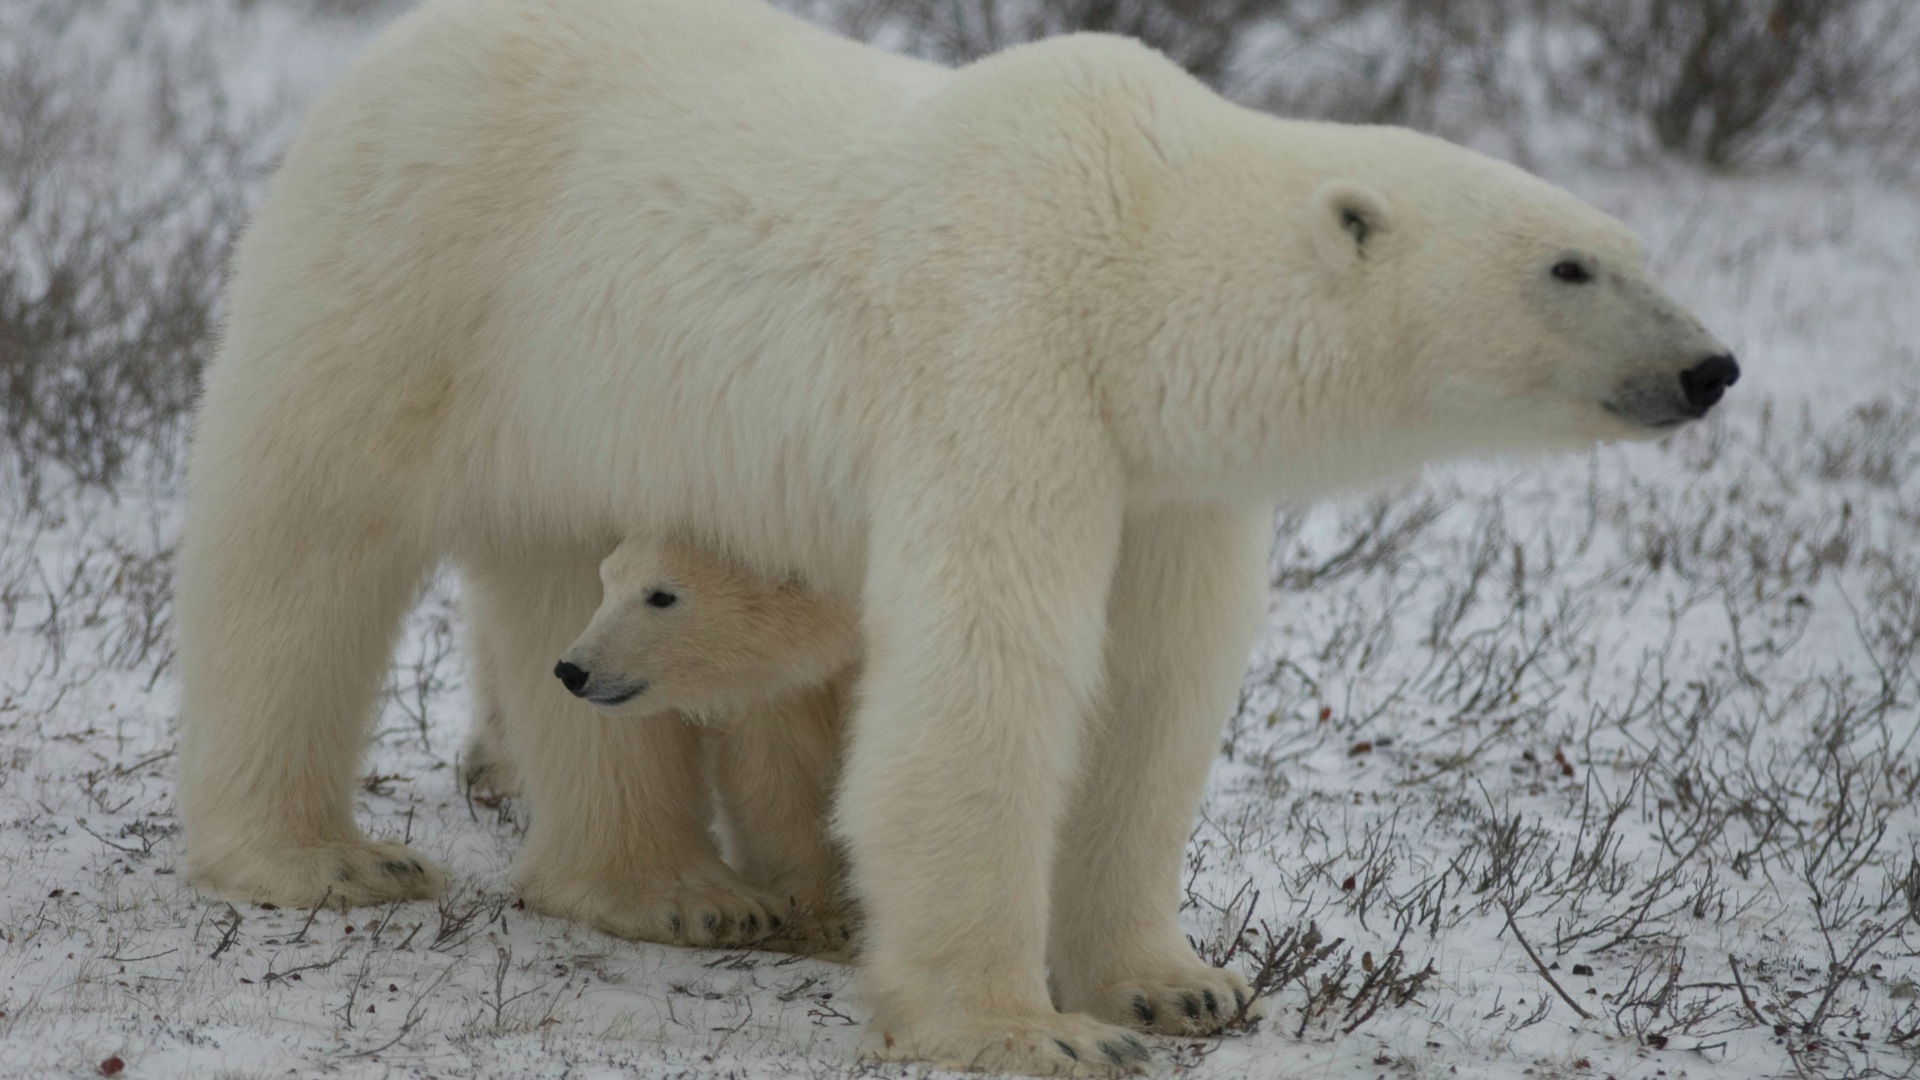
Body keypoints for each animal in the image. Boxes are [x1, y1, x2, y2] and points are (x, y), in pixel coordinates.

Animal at [176, 0, 1743, 1060]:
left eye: (1639, 250)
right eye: (1570, 266)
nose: (1712, 367)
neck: (1132, 247)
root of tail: (382, 56)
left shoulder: (1163, 481)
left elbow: (1150, 697)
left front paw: (1179, 981)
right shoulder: (1004, 356)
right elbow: (986, 676)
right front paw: (1022, 1027)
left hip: (569, 410)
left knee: (557, 582)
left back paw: (665, 889)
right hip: (415, 274)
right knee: (305, 542)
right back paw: (324, 856)